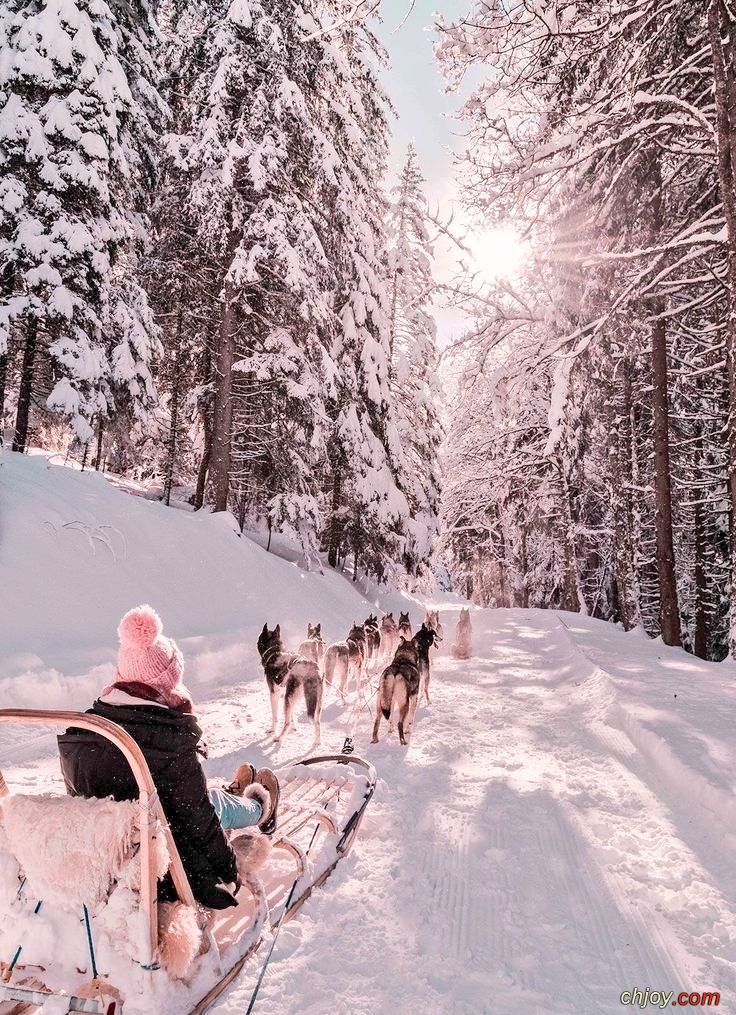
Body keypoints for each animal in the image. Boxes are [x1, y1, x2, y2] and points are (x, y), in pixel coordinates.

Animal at [256, 617, 320, 747]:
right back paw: (317, 741)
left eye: (260, 638)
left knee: (286, 723)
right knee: (317, 722)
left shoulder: (274, 694)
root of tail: (310, 667)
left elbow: (275, 717)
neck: (274, 653)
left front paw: (272, 730)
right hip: (313, 703)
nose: (256, 642)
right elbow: (291, 715)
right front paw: (294, 728)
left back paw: (279, 738)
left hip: (288, 698)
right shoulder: (288, 697)